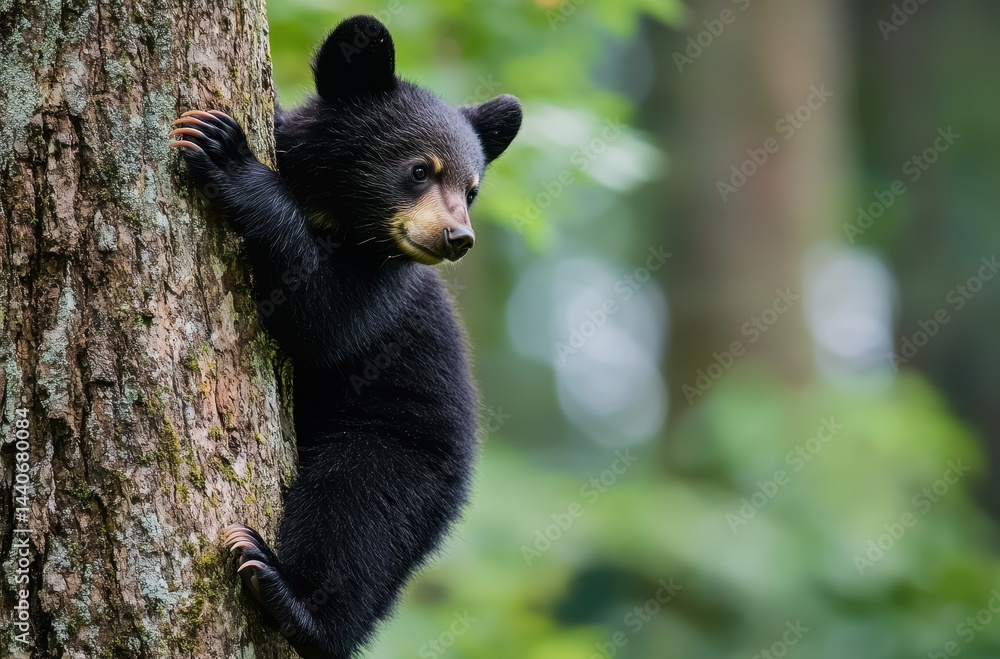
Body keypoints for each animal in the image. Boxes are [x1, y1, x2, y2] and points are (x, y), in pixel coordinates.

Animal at [168, 15, 521, 659]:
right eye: (420, 169)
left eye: (472, 188)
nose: (458, 237)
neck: (335, 212)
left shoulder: (387, 288)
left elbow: (324, 319)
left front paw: (225, 154)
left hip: (401, 459)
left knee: (356, 522)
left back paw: (288, 596)